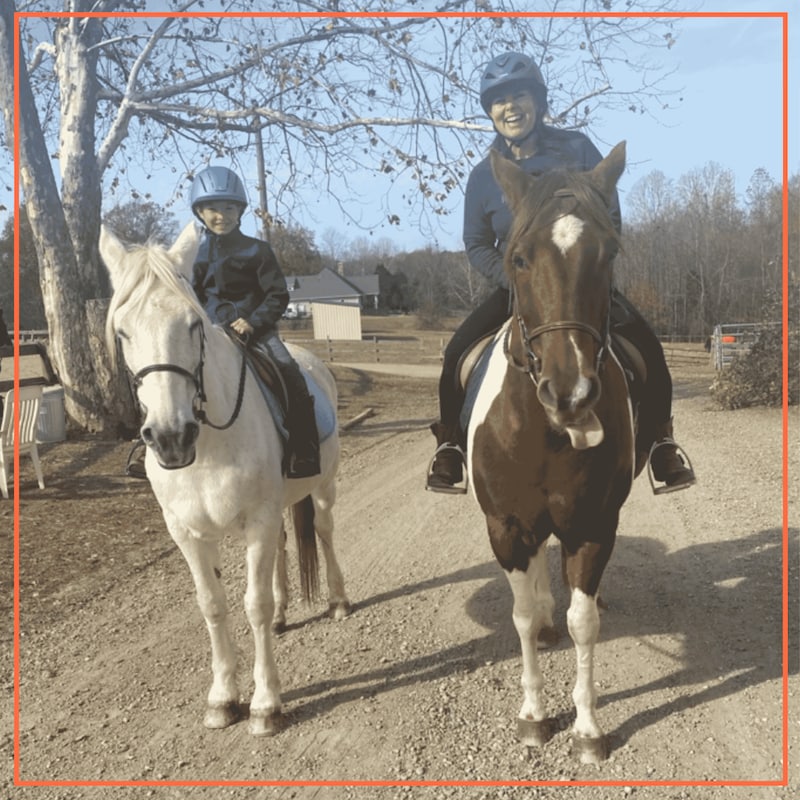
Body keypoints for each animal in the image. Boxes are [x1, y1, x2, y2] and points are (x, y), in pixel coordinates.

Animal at [99, 223, 351, 736]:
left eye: (193, 325)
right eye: (123, 331)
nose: (170, 437)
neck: (209, 448)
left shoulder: (258, 520)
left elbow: (253, 604)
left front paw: (266, 704)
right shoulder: (189, 533)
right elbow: (213, 605)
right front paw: (223, 698)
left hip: (322, 490)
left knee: (324, 531)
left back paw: (337, 601)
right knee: (282, 554)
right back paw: (284, 615)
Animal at [466, 142, 637, 764]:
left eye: (608, 254)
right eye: (517, 258)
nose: (571, 394)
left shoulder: (592, 524)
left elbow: (582, 621)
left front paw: (587, 726)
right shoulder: (506, 525)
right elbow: (518, 617)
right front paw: (535, 714)